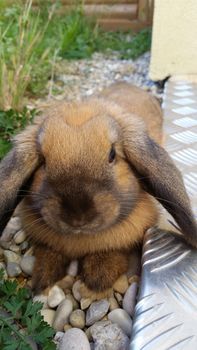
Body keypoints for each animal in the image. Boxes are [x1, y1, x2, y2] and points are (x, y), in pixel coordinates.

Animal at [0, 82, 197, 296]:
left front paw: (98, 277)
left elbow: (115, 251)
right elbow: (48, 251)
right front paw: (43, 277)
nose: (78, 217)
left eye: (112, 154)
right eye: (43, 161)